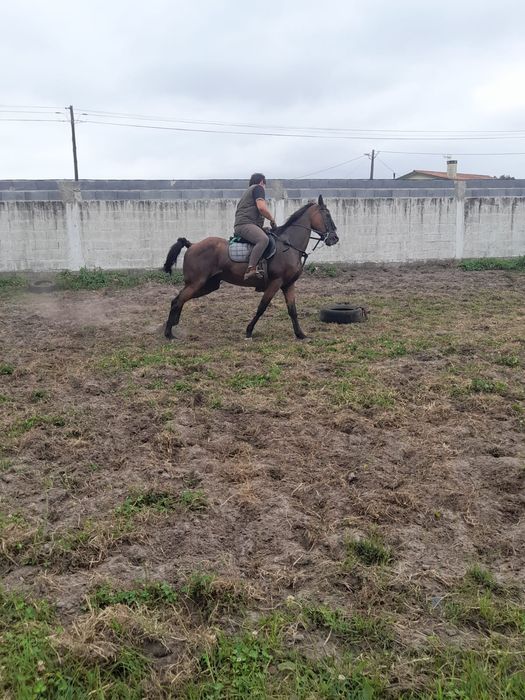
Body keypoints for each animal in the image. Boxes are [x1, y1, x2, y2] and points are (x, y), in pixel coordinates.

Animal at [162, 195, 339, 340]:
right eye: (327, 215)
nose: (334, 238)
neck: (288, 245)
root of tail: (192, 245)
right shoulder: (276, 282)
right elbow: (262, 307)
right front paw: (249, 331)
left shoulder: (288, 285)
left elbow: (292, 310)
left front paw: (300, 334)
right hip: (196, 283)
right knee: (177, 301)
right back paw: (169, 333)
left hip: (208, 285)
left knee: (179, 300)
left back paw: (172, 326)